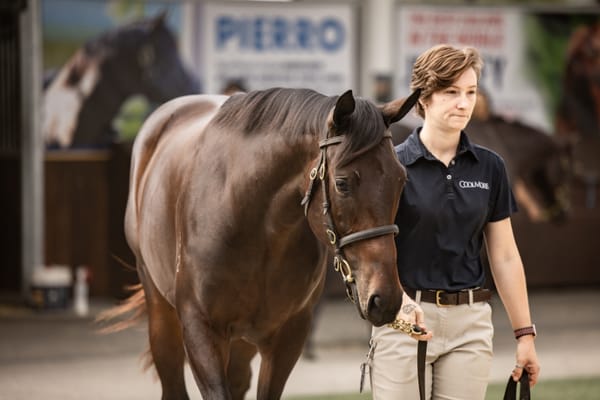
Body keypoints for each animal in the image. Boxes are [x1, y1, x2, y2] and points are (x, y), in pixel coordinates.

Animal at [109, 86, 418, 396]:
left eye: (401, 179)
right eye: (342, 183)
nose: (385, 298)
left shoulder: (287, 336)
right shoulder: (200, 329)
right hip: (161, 312)